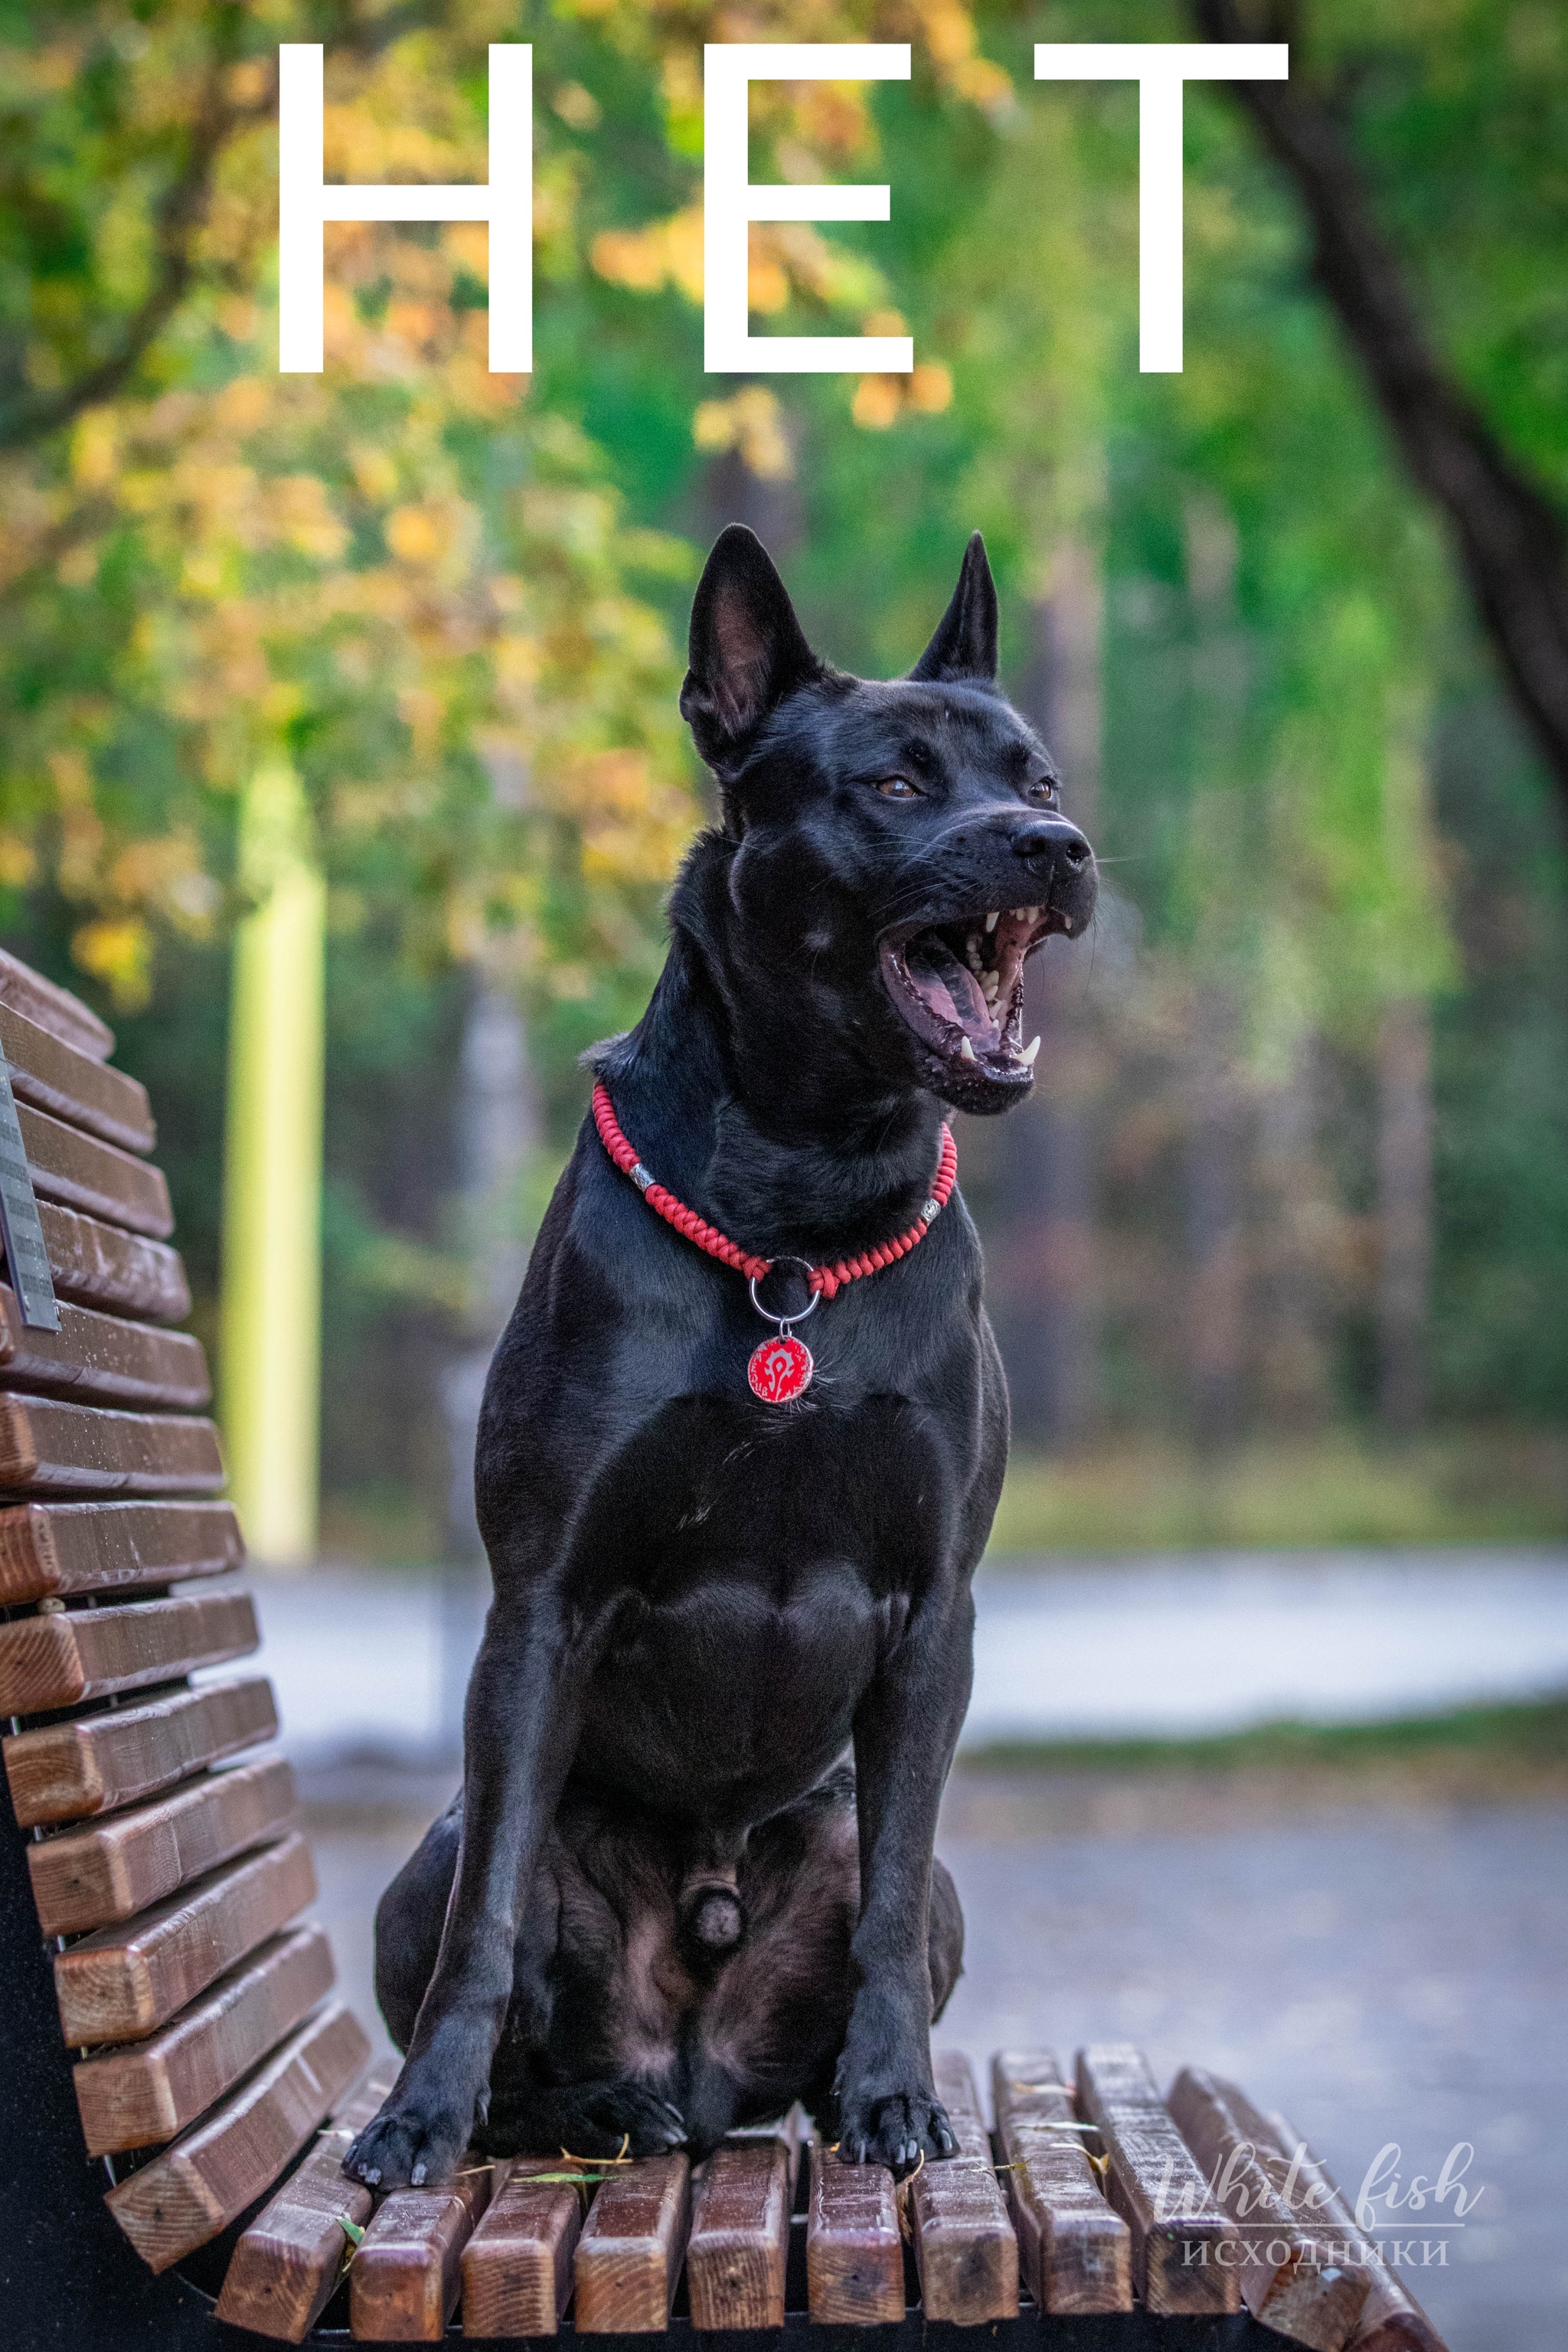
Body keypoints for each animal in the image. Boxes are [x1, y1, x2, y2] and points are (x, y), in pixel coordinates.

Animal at [350, 529, 1099, 2182]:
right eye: (893, 780)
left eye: (1036, 774)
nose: (1056, 846)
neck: (801, 1206)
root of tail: (696, 2071)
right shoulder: (541, 1603)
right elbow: (485, 1931)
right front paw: (417, 2116)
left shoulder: (933, 1612)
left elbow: (886, 1900)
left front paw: (894, 2097)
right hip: (433, 1850)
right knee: (507, 1964)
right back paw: (588, 2108)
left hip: (890, 1872)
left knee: (880, 1916)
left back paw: (802, 2096)